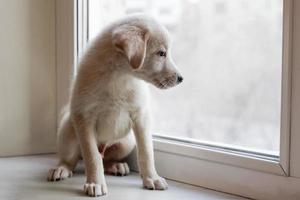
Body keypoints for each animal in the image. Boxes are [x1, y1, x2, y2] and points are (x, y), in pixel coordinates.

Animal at [47, 14, 183, 197]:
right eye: (161, 53)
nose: (181, 78)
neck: (119, 76)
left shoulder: (141, 117)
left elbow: (146, 151)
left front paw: (152, 178)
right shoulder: (84, 118)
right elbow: (92, 156)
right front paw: (95, 183)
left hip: (126, 142)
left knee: (105, 159)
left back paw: (116, 166)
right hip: (68, 131)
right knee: (75, 159)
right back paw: (61, 168)